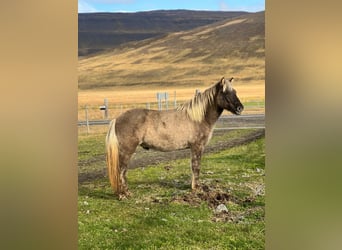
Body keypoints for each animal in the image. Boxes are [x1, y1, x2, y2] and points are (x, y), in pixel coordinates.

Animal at [106, 76, 243, 199]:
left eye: (235, 92)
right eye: (225, 92)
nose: (240, 108)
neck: (198, 118)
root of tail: (117, 119)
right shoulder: (197, 147)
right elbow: (196, 167)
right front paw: (196, 188)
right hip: (126, 152)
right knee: (121, 172)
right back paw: (124, 194)